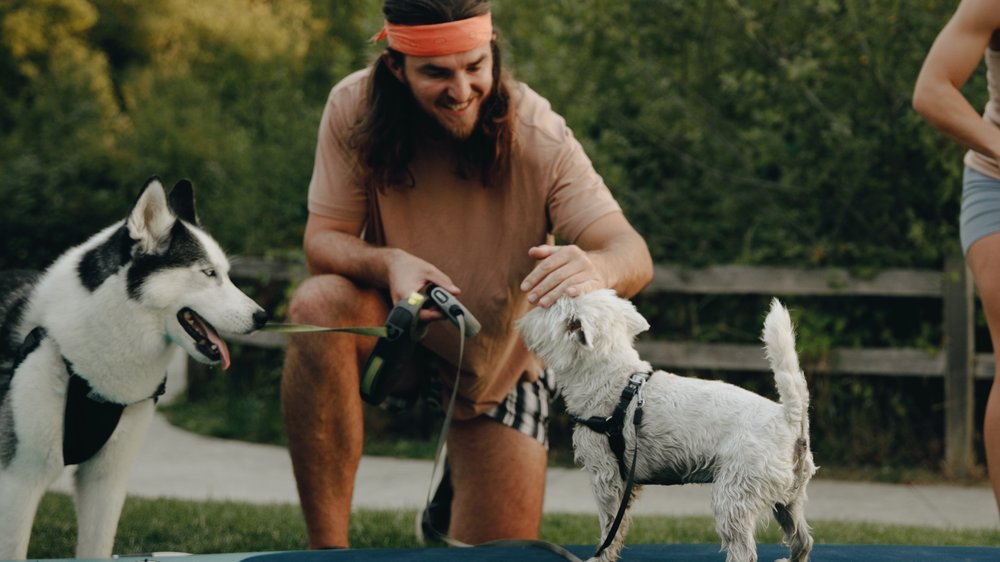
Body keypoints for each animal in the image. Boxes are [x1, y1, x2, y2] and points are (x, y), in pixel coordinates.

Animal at [520, 288, 816, 560]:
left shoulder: (605, 475)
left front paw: (600, 557)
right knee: (802, 540)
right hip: (789, 500)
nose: (526, 309)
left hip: (734, 496)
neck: (613, 379)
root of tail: (790, 418)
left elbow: (608, 527)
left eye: (549, 304)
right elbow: (619, 525)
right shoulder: (627, 482)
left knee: (745, 551)